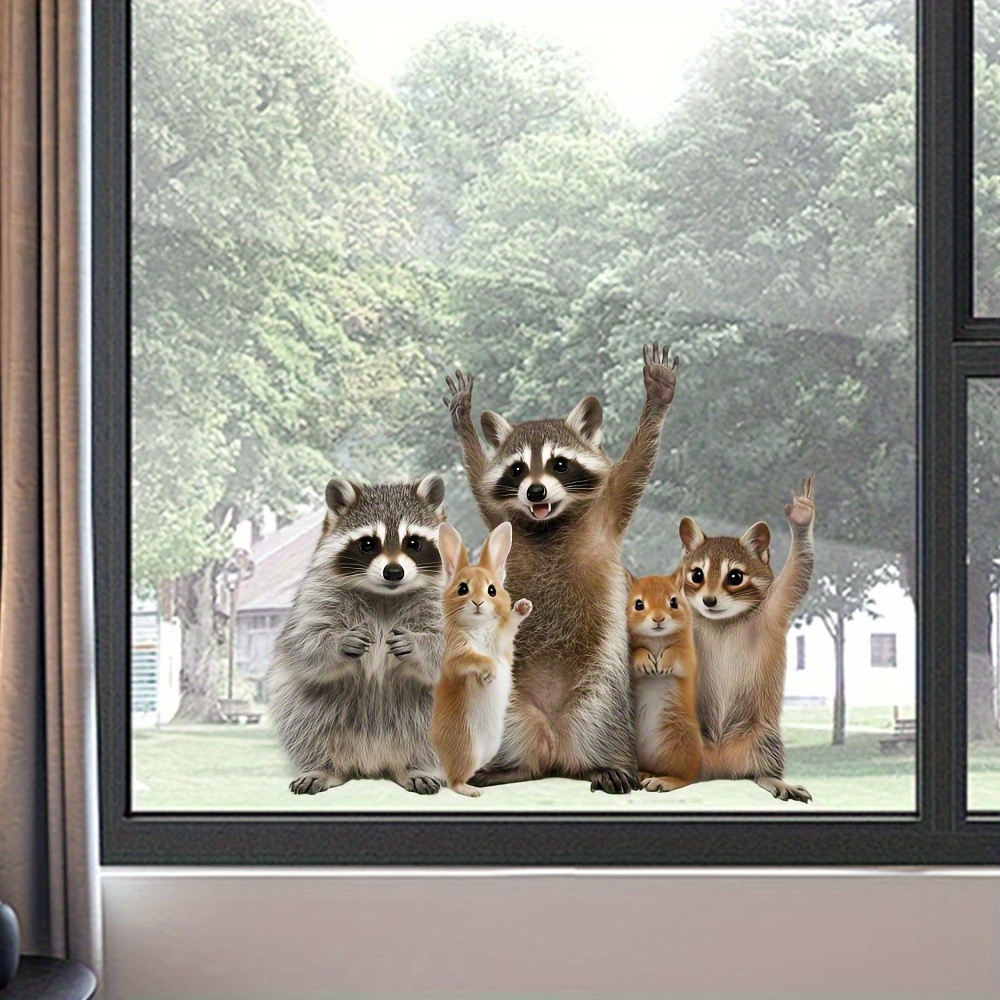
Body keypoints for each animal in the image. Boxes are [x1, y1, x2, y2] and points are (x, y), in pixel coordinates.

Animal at [267, 474, 447, 795]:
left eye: (413, 543)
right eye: (367, 544)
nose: (393, 572)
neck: (386, 595)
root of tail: (372, 763)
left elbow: (451, 648)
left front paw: (417, 644)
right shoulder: (316, 597)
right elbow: (305, 643)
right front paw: (338, 643)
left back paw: (417, 765)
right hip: (309, 708)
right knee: (308, 723)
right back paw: (323, 765)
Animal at [442, 343, 679, 793]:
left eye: (559, 464)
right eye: (518, 469)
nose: (535, 491)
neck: (548, 522)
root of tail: (553, 744)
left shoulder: (608, 508)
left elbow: (637, 464)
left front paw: (657, 400)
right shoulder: (500, 515)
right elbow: (480, 481)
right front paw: (463, 422)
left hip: (601, 687)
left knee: (603, 721)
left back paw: (607, 765)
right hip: (508, 696)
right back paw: (507, 767)